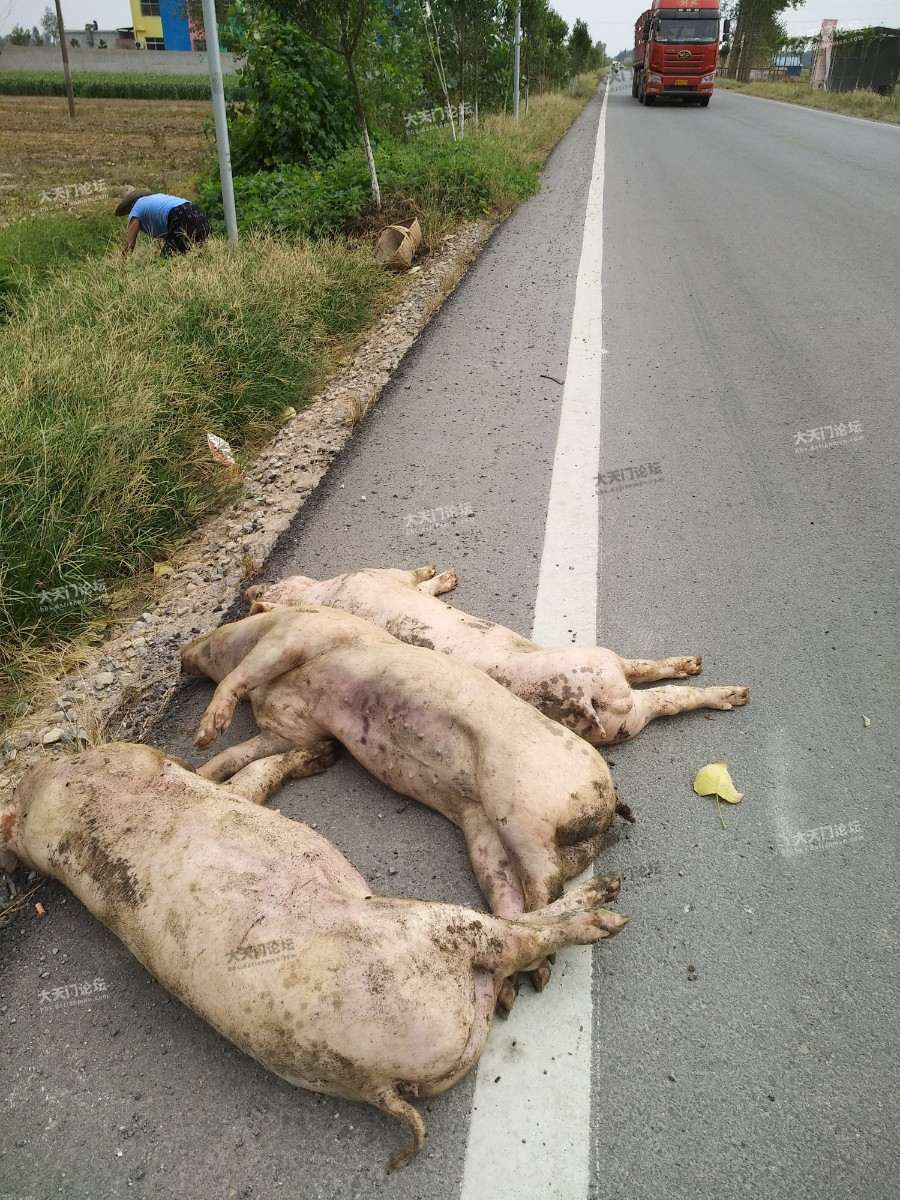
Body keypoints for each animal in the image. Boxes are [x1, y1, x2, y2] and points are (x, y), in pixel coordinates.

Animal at [0, 744, 628, 1166]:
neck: (72, 803)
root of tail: (379, 1083)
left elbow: (248, 777)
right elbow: (253, 776)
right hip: (426, 927)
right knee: (517, 936)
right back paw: (605, 907)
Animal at [247, 564, 753, 748]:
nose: (253, 588)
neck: (318, 594)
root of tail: (582, 702)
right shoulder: (383, 576)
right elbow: (419, 581)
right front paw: (444, 572)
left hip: (619, 715)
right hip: (608, 678)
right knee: (662, 690)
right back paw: (730, 690)